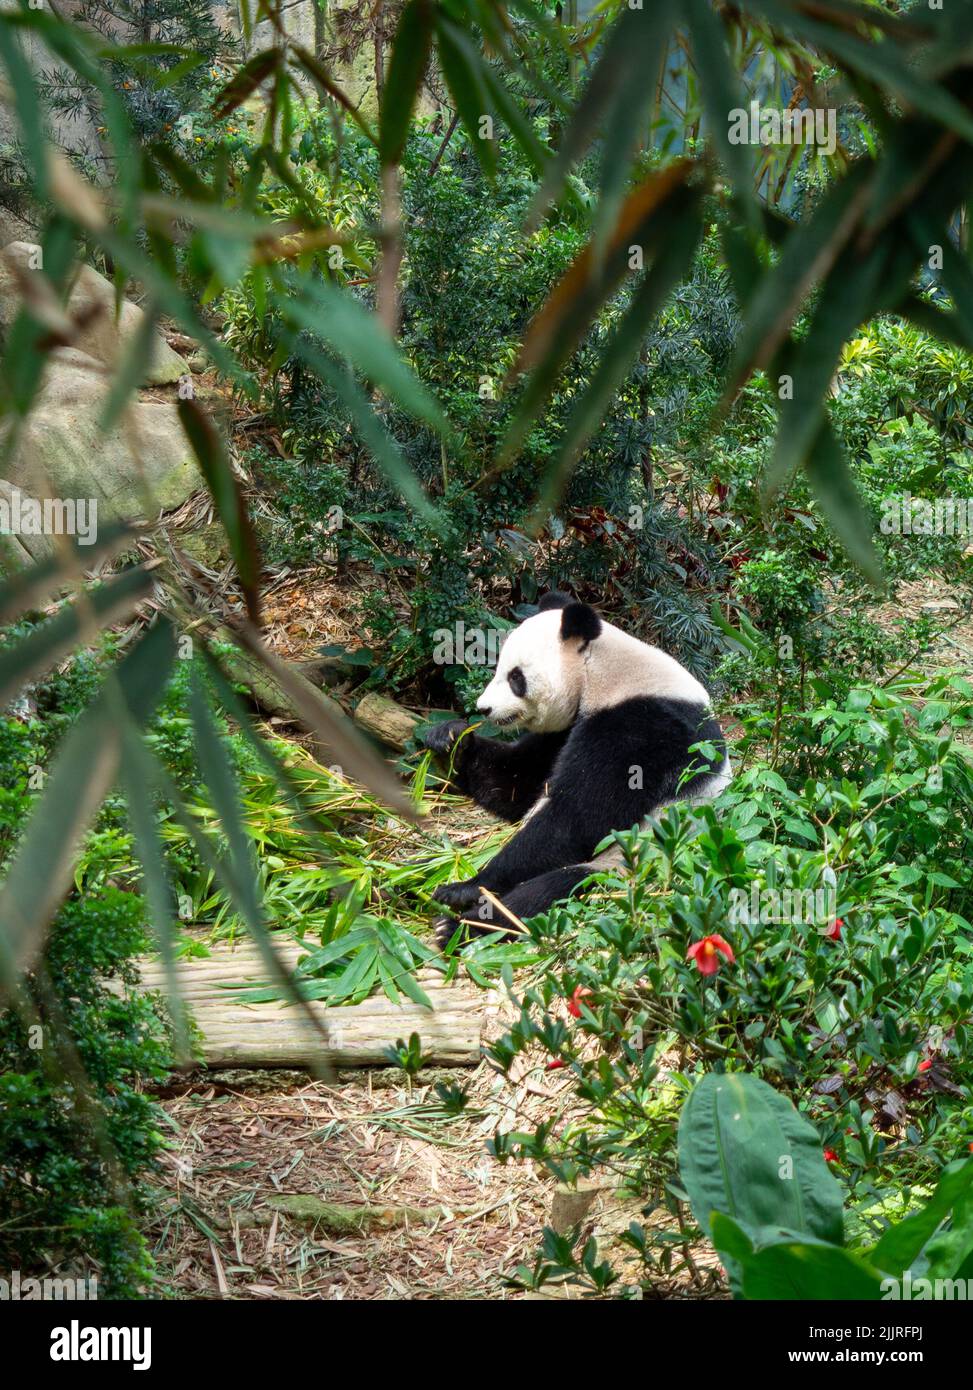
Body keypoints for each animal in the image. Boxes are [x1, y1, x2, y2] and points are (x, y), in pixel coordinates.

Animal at [422, 586, 728, 945]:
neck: (601, 672)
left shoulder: (640, 727)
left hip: (629, 860)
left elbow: (577, 817)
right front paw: (450, 740)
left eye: (515, 677)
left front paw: (466, 886)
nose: (484, 709)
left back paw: (459, 926)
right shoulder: (562, 732)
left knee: (547, 891)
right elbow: (517, 784)